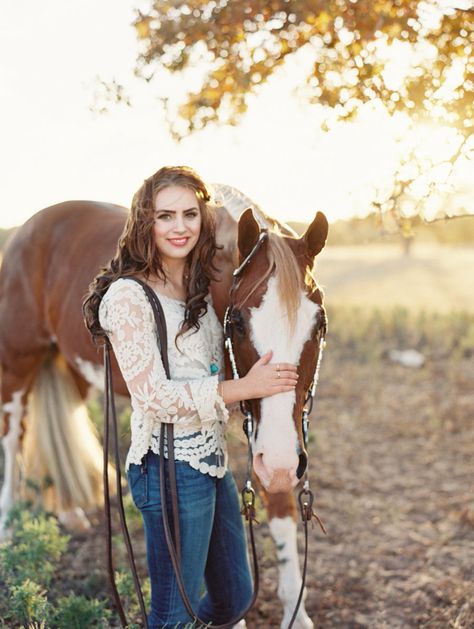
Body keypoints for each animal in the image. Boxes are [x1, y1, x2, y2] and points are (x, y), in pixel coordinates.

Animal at [0, 188, 326, 628]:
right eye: (238, 324)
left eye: (319, 325)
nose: (279, 463)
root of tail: (28, 229)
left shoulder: (275, 436)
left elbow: (280, 507)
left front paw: (296, 611)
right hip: (17, 363)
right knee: (13, 434)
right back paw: (7, 524)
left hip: (73, 367)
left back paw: (69, 512)